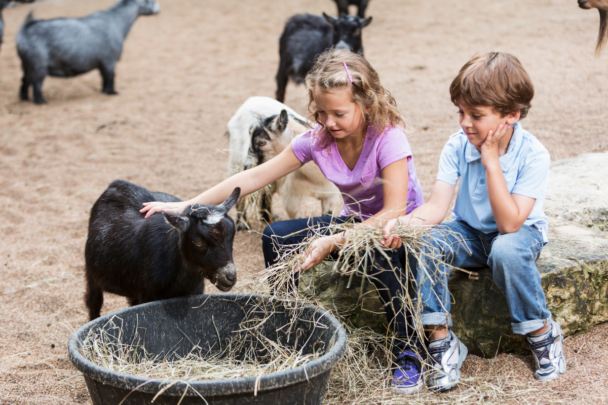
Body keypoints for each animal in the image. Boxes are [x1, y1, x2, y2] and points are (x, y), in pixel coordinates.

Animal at [83, 180, 240, 318]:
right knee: (93, 300)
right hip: (92, 273)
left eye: (232, 237)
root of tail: (117, 184)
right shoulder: (147, 295)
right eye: (198, 242)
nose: (230, 277)